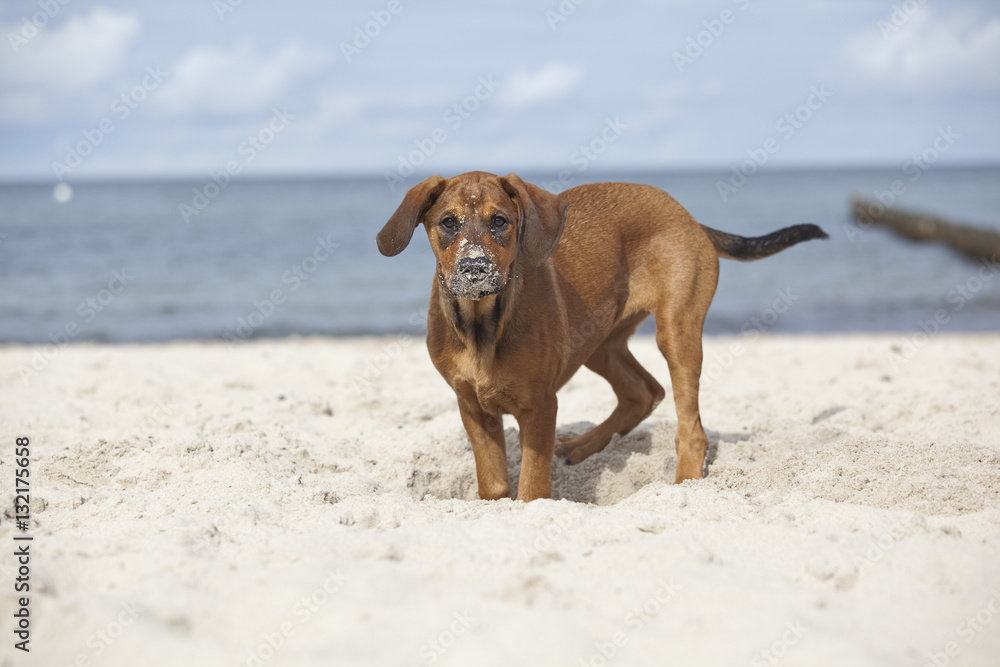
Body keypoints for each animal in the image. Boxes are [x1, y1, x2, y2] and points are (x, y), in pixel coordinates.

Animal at [378, 172, 824, 500]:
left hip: (676, 331)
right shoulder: (472, 407)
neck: (480, 325)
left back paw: (683, 484)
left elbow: (532, 485)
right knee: (643, 392)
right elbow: (494, 484)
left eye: (499, 221)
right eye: (448, 223)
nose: (474, 269)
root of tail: (686, 215)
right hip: (598, 339)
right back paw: (581, 446)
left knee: (691, 427)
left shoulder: (540, 406)